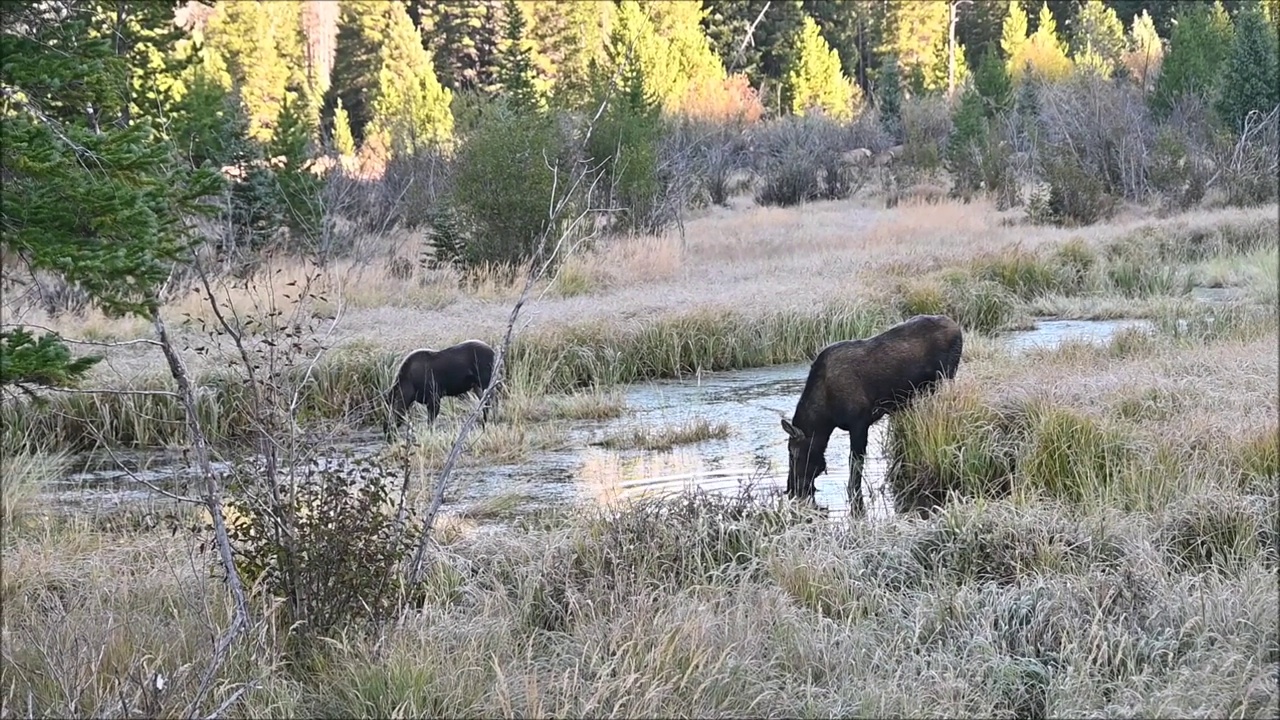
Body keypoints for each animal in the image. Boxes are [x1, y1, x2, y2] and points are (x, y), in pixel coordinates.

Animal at [773, 312, 962, 509]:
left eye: (793, 453)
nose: (791, 488)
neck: (826, 416)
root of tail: (957, 327)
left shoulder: (859, 422)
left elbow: (855, 463)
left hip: (946, 376)